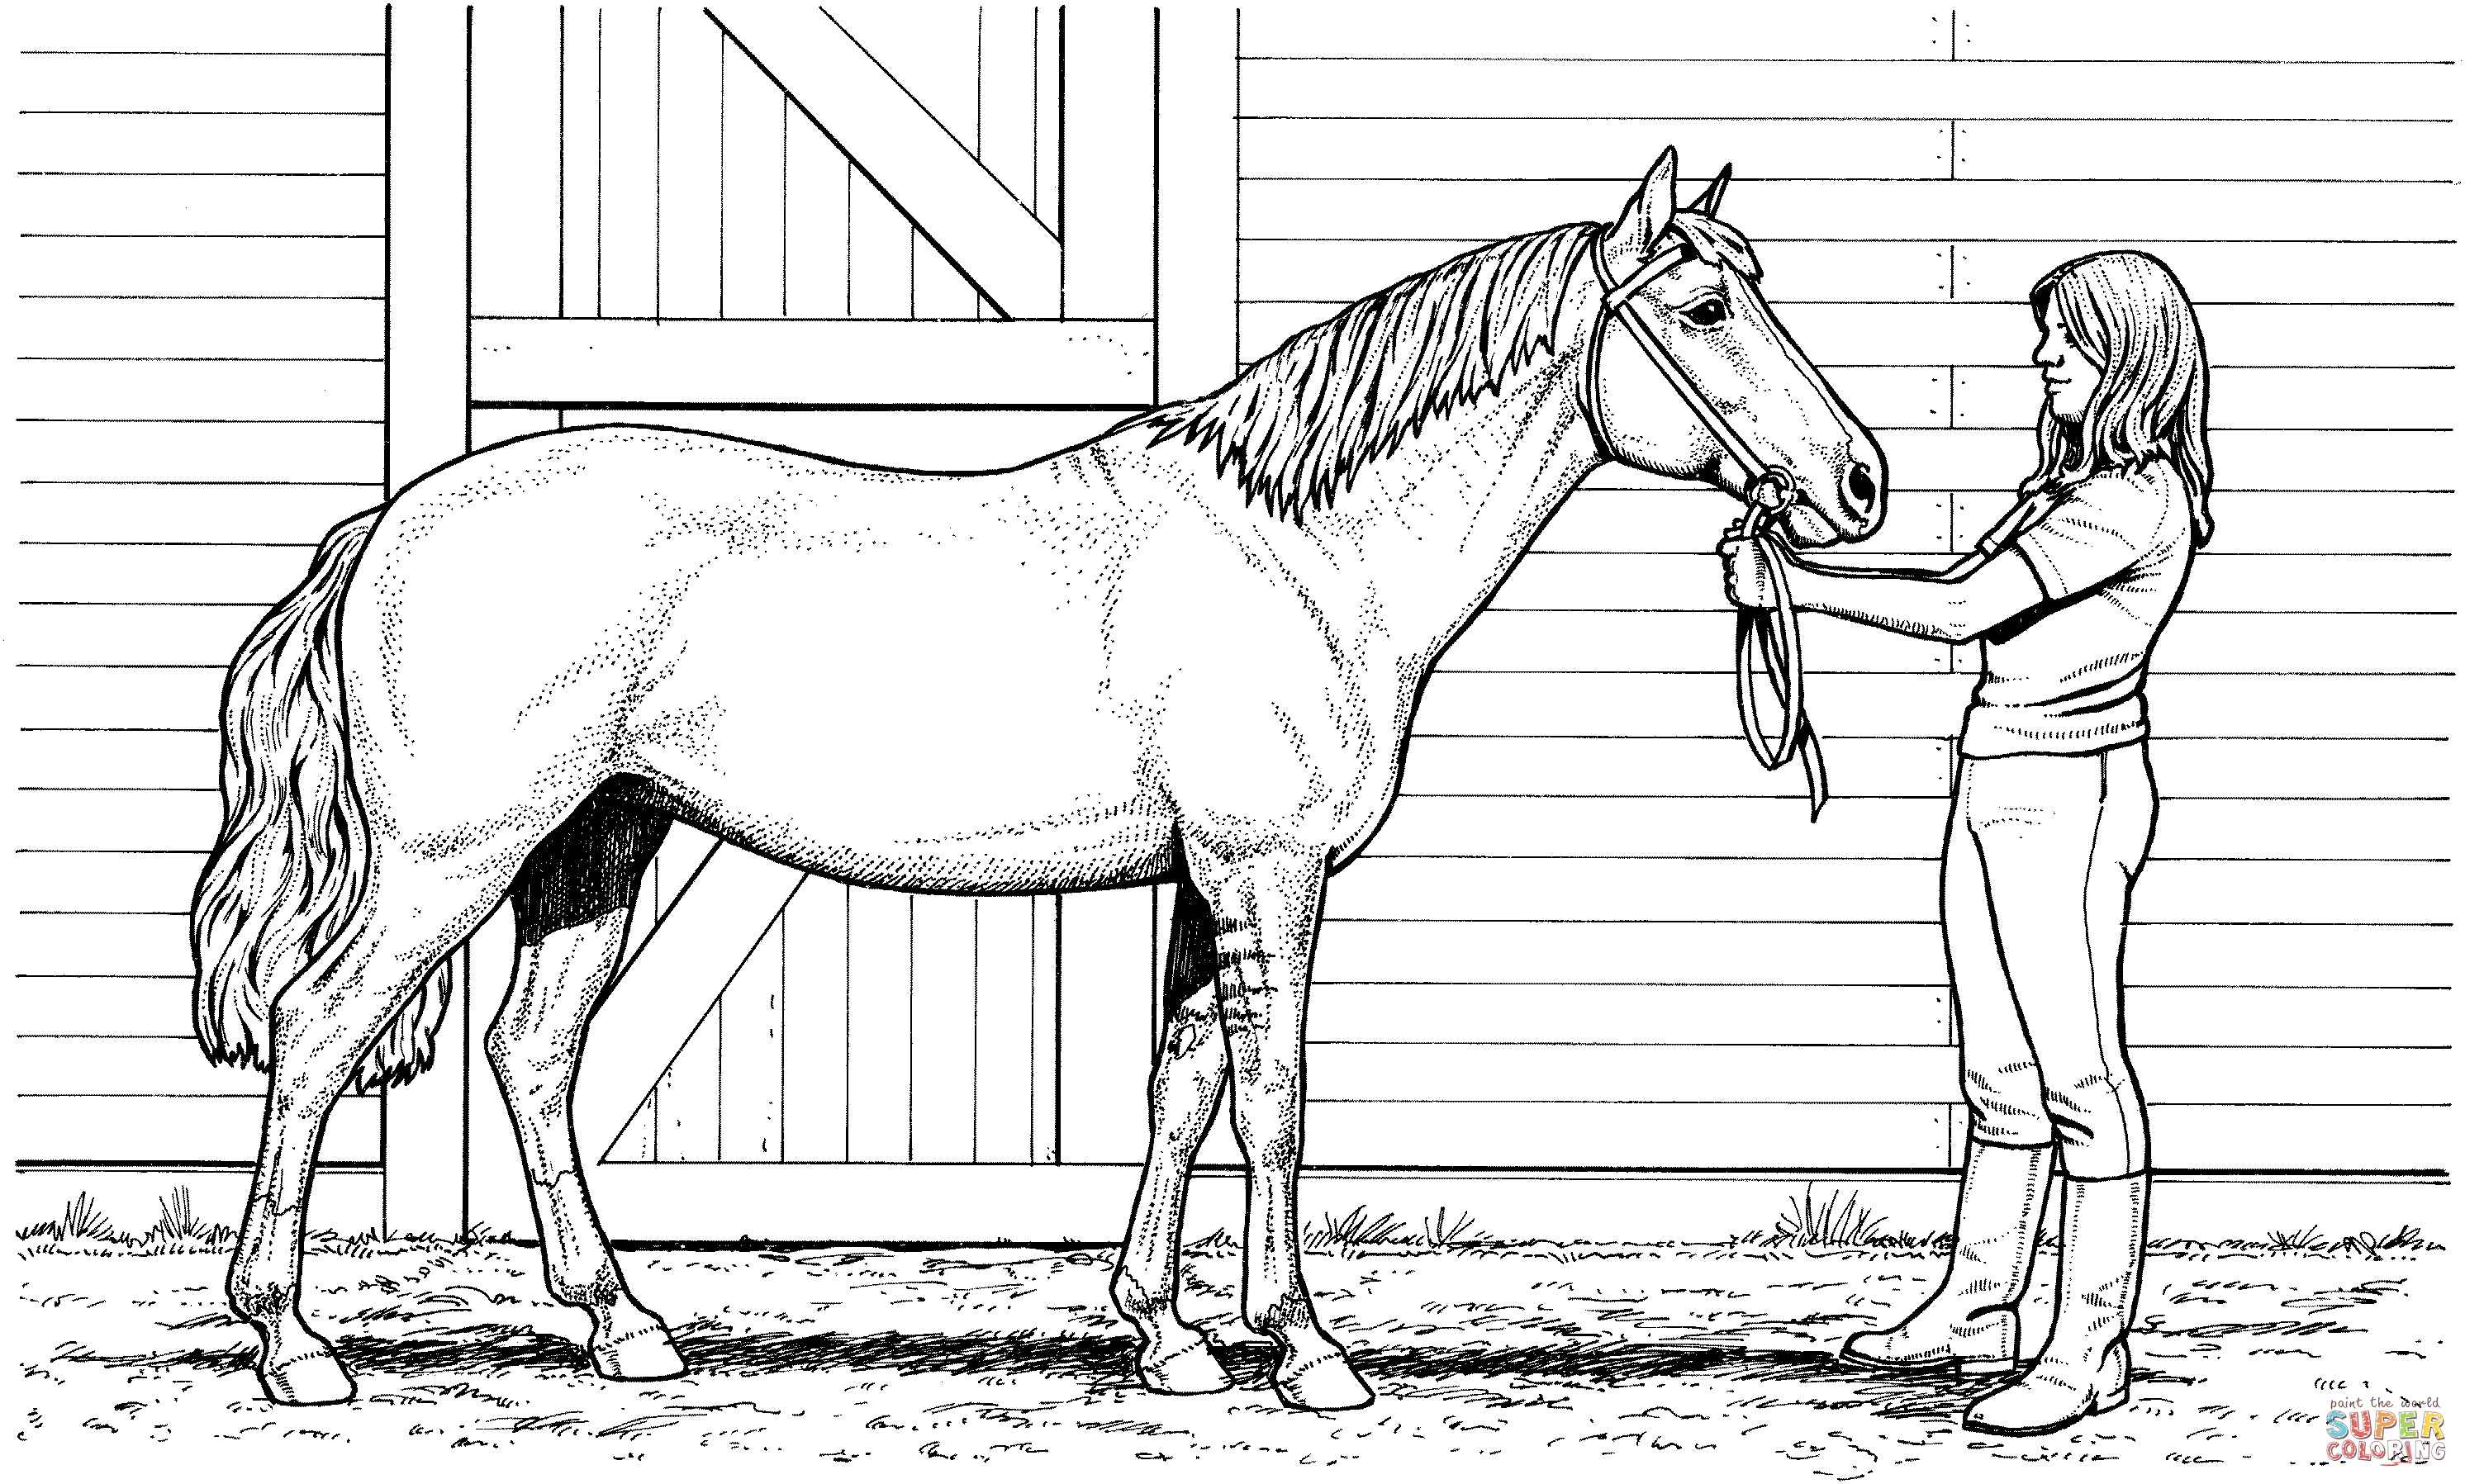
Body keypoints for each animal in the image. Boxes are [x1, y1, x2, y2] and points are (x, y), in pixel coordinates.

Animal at [191, 147, 1885, 1413]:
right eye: (1704, 304)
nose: (1857, 481)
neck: (1302, 551)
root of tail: (388, 525)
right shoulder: (1265, 868)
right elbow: (1273, 1097)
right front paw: (1308, 1352)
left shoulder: (1205, 879)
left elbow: (1182, 1086)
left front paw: (1169, 1335)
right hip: (451, 857)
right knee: (322, 1029)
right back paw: (293, 1342)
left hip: (594, 846)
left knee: (533, 1055)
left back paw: (625, 1329)